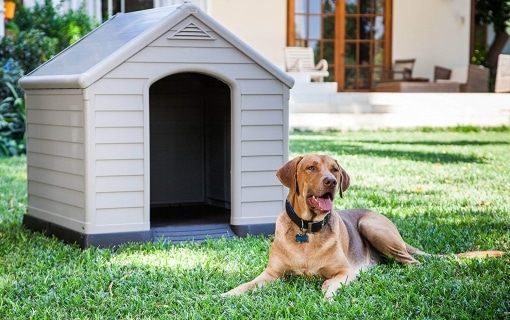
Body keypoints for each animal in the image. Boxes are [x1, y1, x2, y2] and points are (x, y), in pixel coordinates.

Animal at [224, 154, 506, 298]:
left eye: (335, 169)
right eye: (311, 167)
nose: (331, 181)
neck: (307, 230)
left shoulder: (344, 271)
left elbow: (330, 284)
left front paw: (327, 296)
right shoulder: (271, 275)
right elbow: (245, 285)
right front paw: (224, 295)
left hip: (372, 225)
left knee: (413, 262)